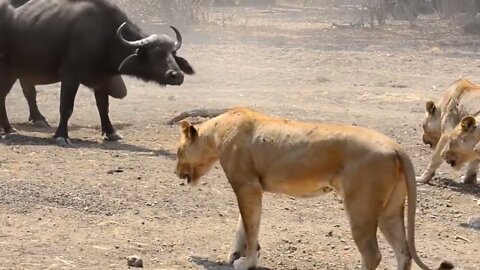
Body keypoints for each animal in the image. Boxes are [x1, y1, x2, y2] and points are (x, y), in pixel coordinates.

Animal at [0, 0, 195, 146]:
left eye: (173, 53)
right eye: (156, 53)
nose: (177, 76)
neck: (104, 38)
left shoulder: (103, 80)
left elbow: (104, 107)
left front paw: (111, 132)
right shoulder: (70, 77)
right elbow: (66, 107)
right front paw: (62, 135)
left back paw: (11, 127)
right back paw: (10, 128)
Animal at [174, 107, 452, 270]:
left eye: (178, 151)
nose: (176, 172)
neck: (217, 132)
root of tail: (396, 147)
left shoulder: (247, 186)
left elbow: (250, 228)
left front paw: (247, 261)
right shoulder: (253, 188)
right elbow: (244, 225)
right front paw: (235, 254)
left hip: (361, 208)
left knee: (373, 255)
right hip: (390, 211)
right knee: (403, 252)